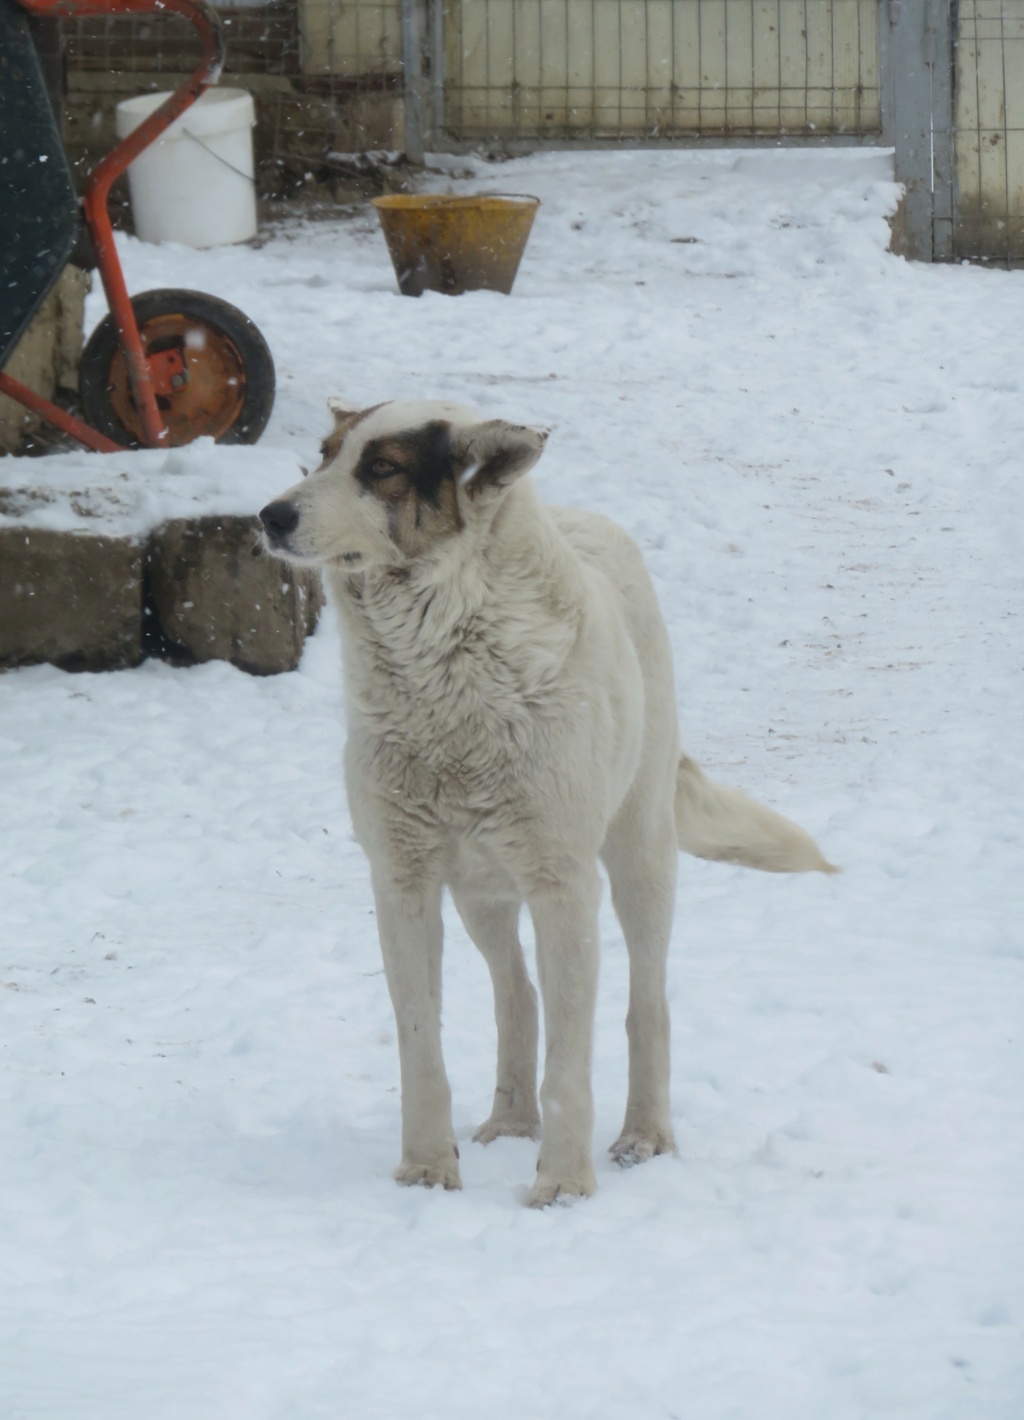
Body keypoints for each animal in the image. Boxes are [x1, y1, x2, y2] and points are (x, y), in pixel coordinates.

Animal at [259, 400, 835, 1209]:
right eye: (325, 455)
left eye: (382, 468)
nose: (269, 516)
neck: (444, 673)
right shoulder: (402, 881)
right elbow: (421, 1044)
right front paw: (426, 1171)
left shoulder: (564, 885)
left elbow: (571, 1058)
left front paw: (563, 1185)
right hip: (481, 890)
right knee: (517, 992)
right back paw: (509, 1120)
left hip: (638, 858)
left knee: (646, 1001)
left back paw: (644, 1135)